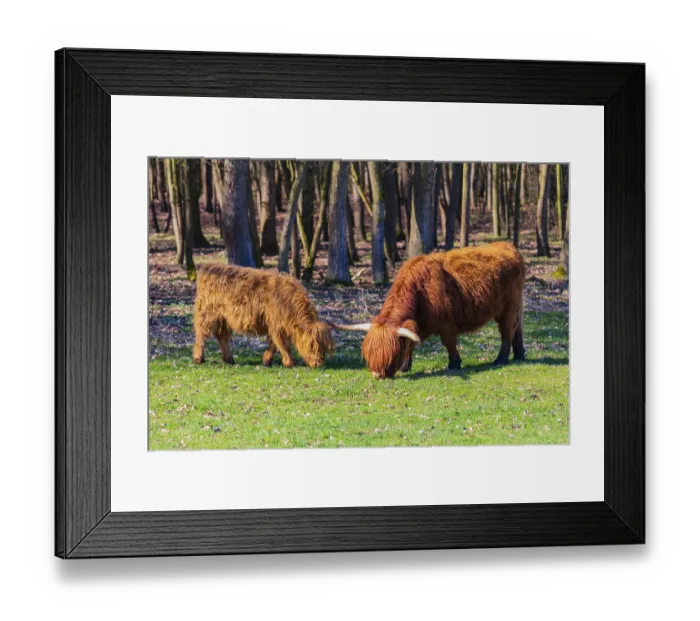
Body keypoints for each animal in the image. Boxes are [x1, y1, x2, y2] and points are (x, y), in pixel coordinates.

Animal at [193, 264, 334, 368]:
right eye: (312, 345)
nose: (318, 363)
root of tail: (207, 267)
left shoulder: (277, 325)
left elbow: (275, 344)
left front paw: (267, 361)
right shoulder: (276, 324)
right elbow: (282, 344)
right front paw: (289, 363)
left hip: (223, 319)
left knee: (222, 337)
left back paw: (229, 359)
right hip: (208, 313)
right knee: (201, 334)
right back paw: (199, 358)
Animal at [335, 242, 526, 378]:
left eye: (391, 355)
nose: (377, 375)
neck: (418, 290)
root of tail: (508, 245)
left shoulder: (447, 323)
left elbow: (449, 343)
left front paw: (454, 365)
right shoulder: (415, 325)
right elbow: (410, 344)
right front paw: (405, 366)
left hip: (508, 308)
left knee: (507, 332)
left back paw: (500, 360)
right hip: (517, 307)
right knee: (517, 329)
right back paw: (519, 355)